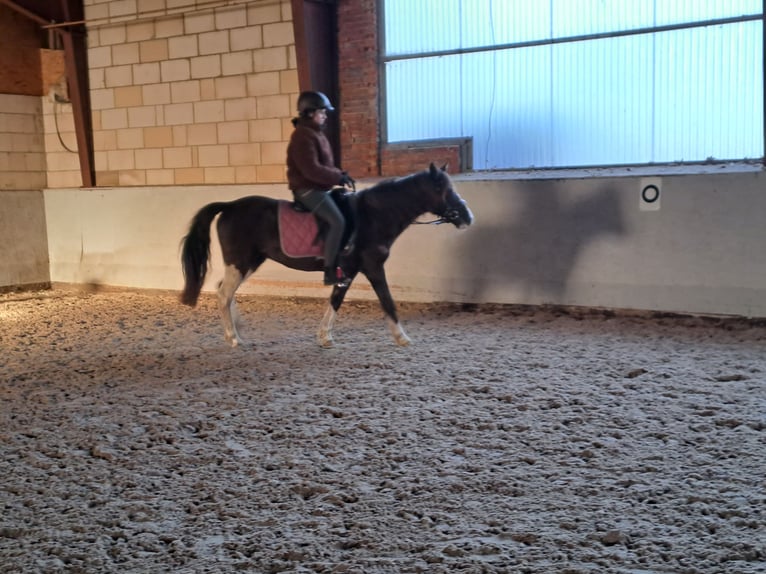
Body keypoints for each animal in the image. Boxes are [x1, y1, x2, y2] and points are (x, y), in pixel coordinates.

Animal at [183, 164, 476, 348]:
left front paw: (325, 337)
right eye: (443, 190)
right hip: (241, 262)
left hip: (248, 262)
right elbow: (386, 300)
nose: (467, 217)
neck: (374, 215)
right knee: (224, 294)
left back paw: (237, 331)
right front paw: (402, 337)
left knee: (224, 290)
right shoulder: (372, 266)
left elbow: (336, 299)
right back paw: (234, 339)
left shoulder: (348, 270)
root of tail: (230, 206)